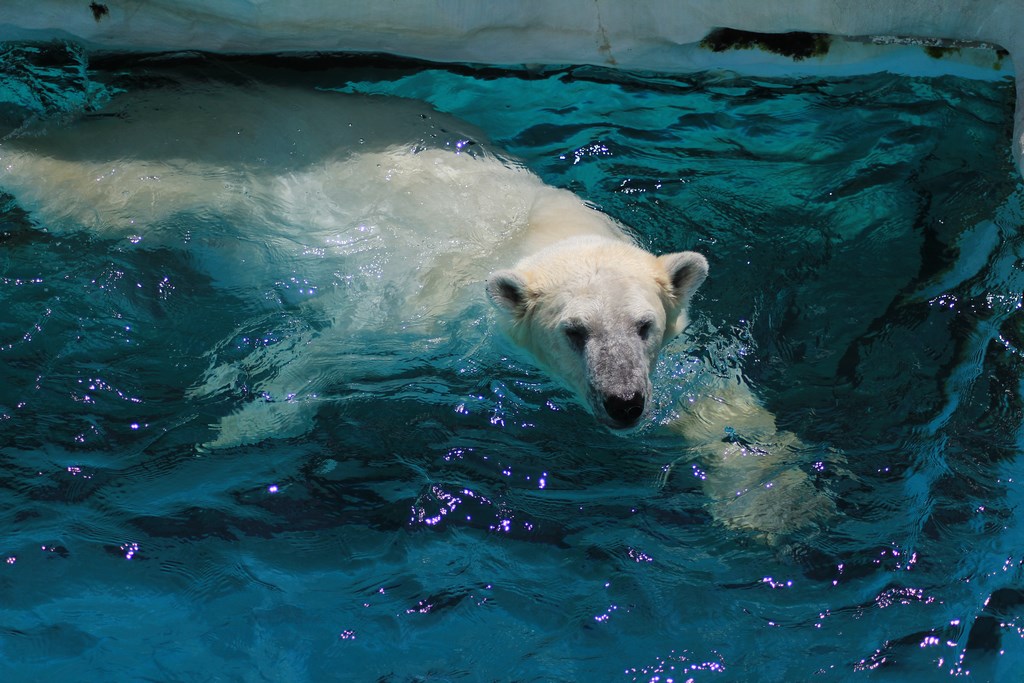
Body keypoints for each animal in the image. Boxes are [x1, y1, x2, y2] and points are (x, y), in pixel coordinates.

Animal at [0, 79, 831, 540]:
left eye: (644, 326)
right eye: (574, 331)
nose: (624, 403)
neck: (532, 231)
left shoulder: (670, 347)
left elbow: (712, 394)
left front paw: (777, 502)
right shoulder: (421, 311)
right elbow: (326, 353)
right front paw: (236, 423)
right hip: (159, 179)